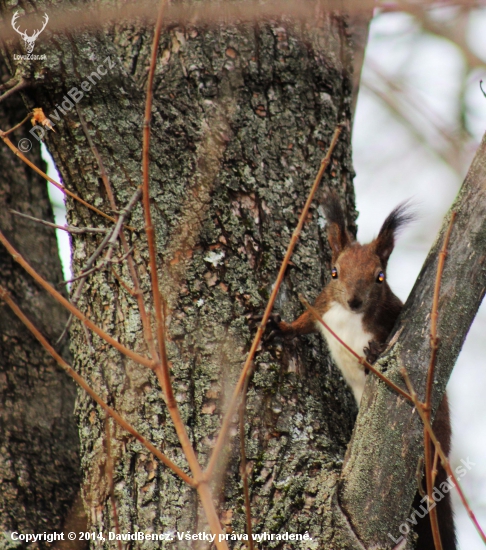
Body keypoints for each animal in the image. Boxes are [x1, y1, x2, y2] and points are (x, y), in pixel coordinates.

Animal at [270, 196, 456, 550]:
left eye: (380, 276)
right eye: (334, 272)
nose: (355, 301)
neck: (348, 317)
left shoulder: (391, 316)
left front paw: (372, 353)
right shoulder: (321, 307)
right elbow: (303, 323)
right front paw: (280, 328)